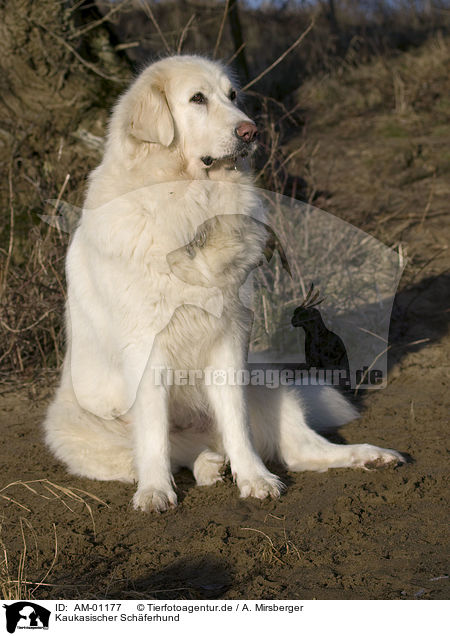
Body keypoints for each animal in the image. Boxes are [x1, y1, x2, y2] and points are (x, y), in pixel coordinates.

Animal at [44, 54, 404, 512]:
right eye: (197, 99)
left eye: (232, 96)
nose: (251, 131)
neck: (192, 203)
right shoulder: (146, 346)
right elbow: (153, 433)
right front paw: (155, 491)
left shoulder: (230, 338)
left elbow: (236, 422)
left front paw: (254, 479)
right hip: (80, 424)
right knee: (170, 454)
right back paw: (205, 466)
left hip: (267, 385)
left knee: (300, 452)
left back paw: (370, 456)